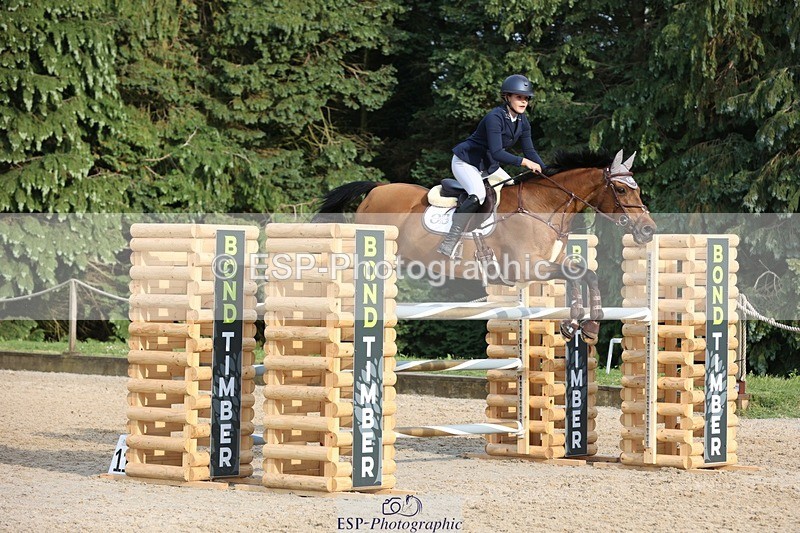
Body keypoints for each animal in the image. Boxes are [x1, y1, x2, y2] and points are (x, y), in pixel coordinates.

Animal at [314, 149, 656, 339]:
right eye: (622, 191)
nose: (649, 230)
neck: (543, 206)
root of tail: (376, 189)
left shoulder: (549, 265)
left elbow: (584, 274)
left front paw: (580, 326)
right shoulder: (527, 269)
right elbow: (581, 275)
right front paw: (582, 325)